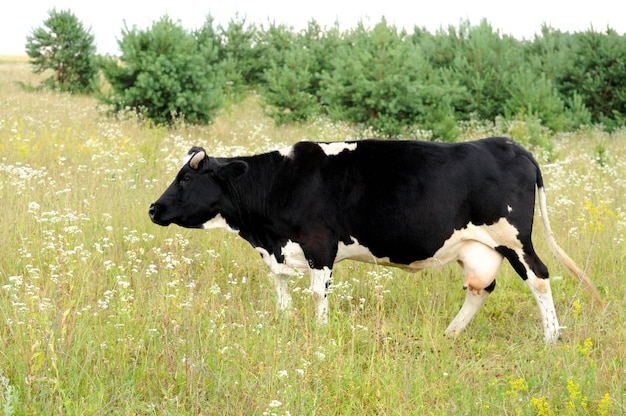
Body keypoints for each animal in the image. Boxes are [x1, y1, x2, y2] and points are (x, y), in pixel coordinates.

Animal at [149, 136, 604, 342]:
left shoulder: (320, 246)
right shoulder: (278, 252)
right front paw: (284, 323)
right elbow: (279, 290)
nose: (153, 209)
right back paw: (450, 333)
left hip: (514, 238)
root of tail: (508, 144)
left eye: (186, 178)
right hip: (477, 247)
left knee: (540, 277)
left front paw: (320, 333)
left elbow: (318, 294)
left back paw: (551, 337)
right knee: (481, 287)